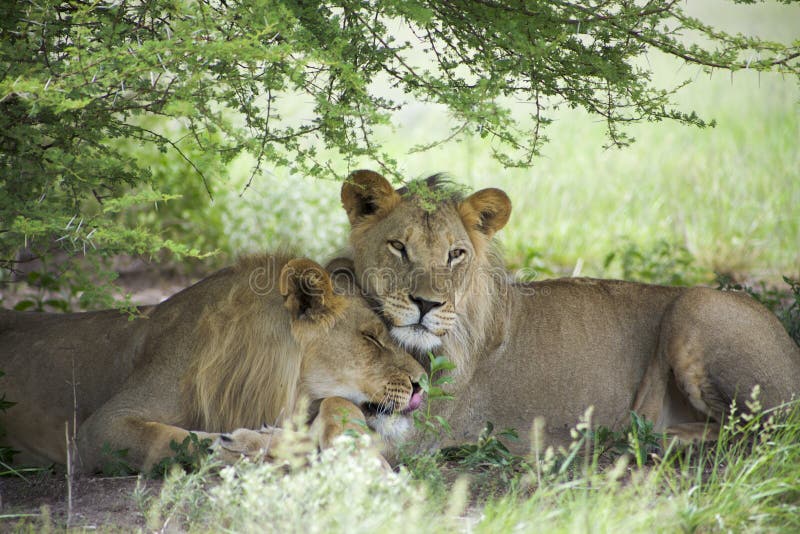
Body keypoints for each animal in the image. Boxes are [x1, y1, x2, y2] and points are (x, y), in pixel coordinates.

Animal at [0, 254, 424, 474]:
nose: (423, 383)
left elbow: (341, 407)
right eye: (370, 338)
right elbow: (173, 439)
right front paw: (250, 444)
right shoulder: (97, 431)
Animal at [336, 171, 800, 452]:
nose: (426, 304)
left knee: (759, 434)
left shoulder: (422, 433)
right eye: (399, 246)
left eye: (455, 255)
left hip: (698, 304)